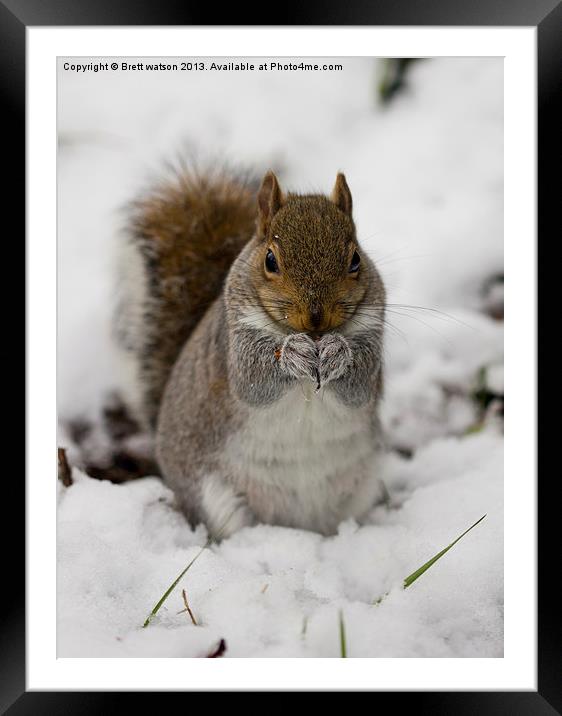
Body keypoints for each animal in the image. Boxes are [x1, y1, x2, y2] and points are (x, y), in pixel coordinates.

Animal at [114, 165, 384, 536]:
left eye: (355, 260)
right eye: (270, 260)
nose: (316, 319)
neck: (311, 337)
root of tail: (301, 525)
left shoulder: (373, 331)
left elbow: (359, 386)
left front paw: (337, 353)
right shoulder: (234, 343)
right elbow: (254, 381)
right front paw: (293, 353)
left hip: (363, 486)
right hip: (218, 500)